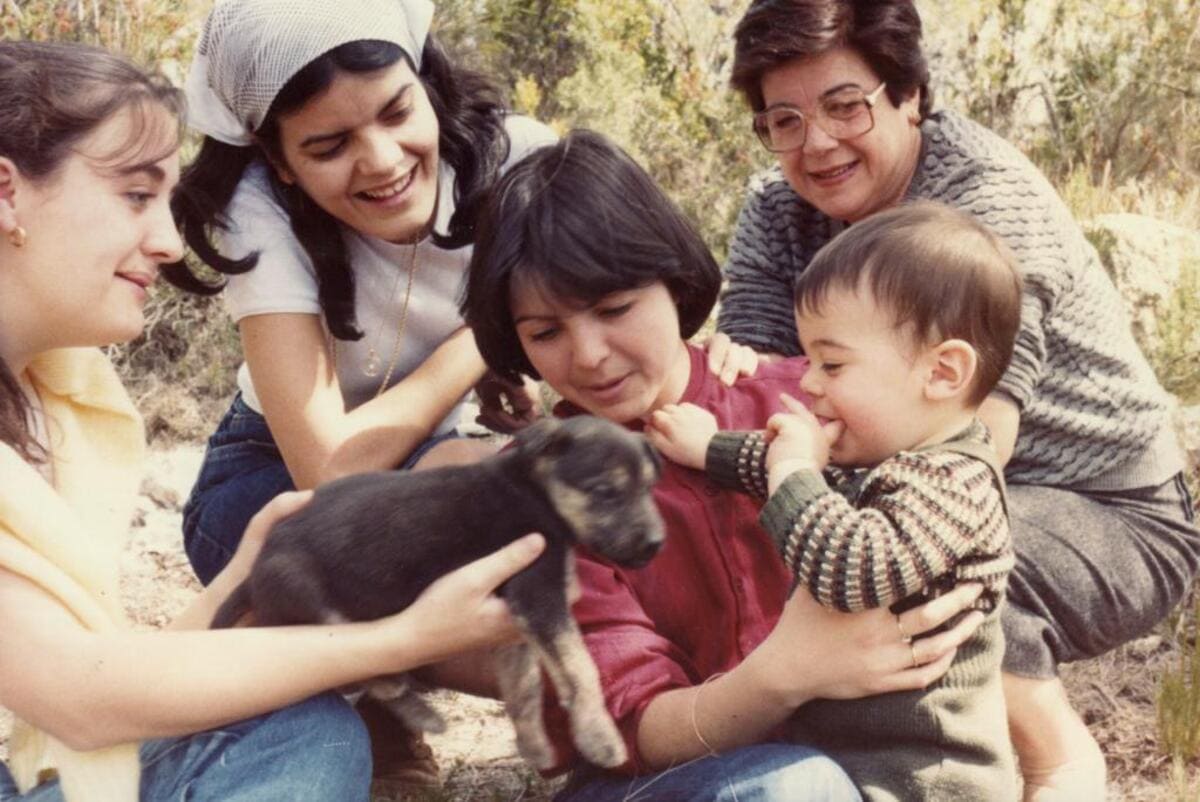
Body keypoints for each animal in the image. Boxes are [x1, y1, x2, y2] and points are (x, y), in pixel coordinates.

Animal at [213, 413, 667, 768]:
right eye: (605, 492)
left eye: (648, 487)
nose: (656, 544)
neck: (535, 491)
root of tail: (254, 570)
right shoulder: (539, 596)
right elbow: (580, 666)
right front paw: (601, 739)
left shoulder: (513, 624)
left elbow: (524, 688)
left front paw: (534, 746)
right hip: (313, 601)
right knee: (362, 669)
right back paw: (413, 702)